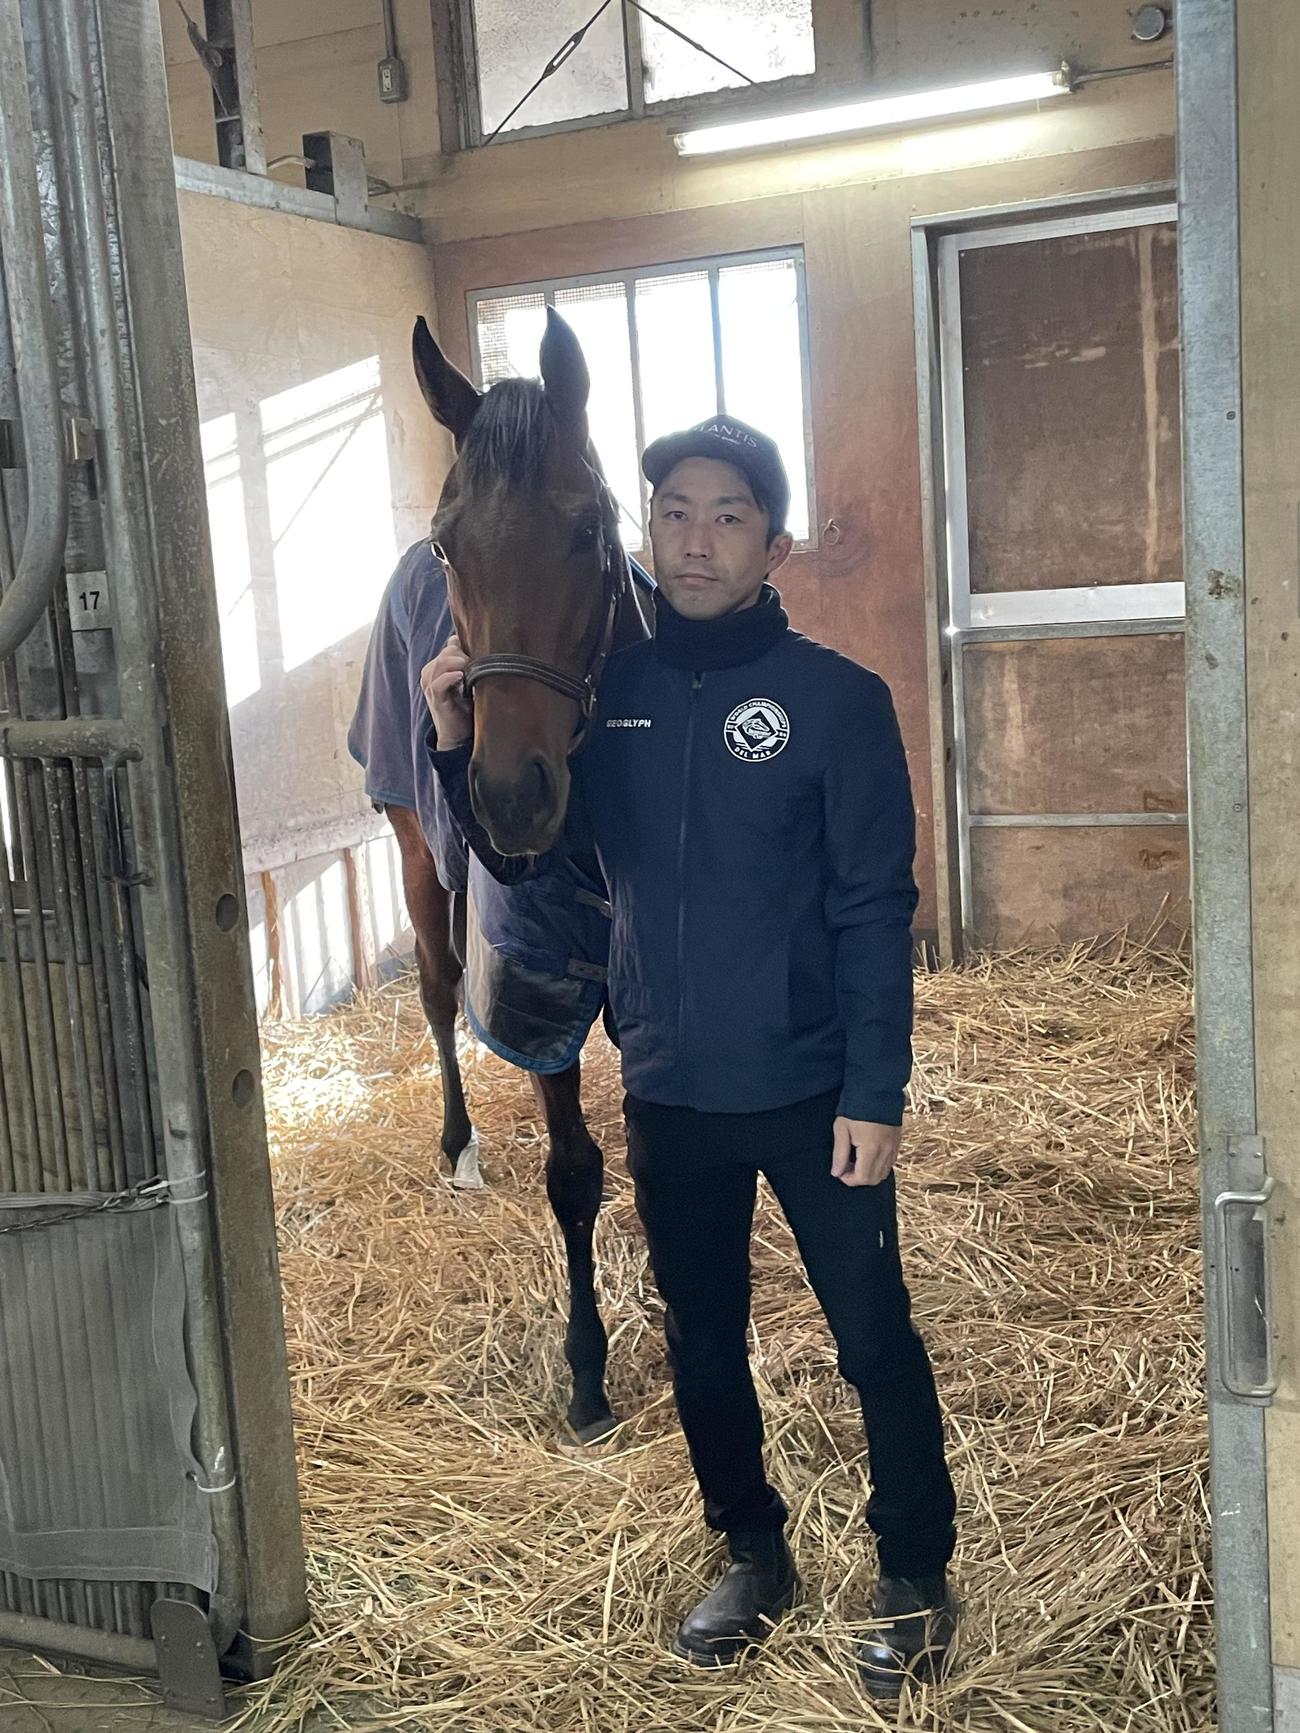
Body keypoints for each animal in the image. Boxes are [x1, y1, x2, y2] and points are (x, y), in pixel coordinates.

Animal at [349, 309, 652, 1444]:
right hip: (414, 850)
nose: (512, 796)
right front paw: (587, 1372)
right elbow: (574, 1174)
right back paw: (460, 1150)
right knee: (438, 996)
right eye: (451, 542)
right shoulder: (540, 992)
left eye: (588, 527)